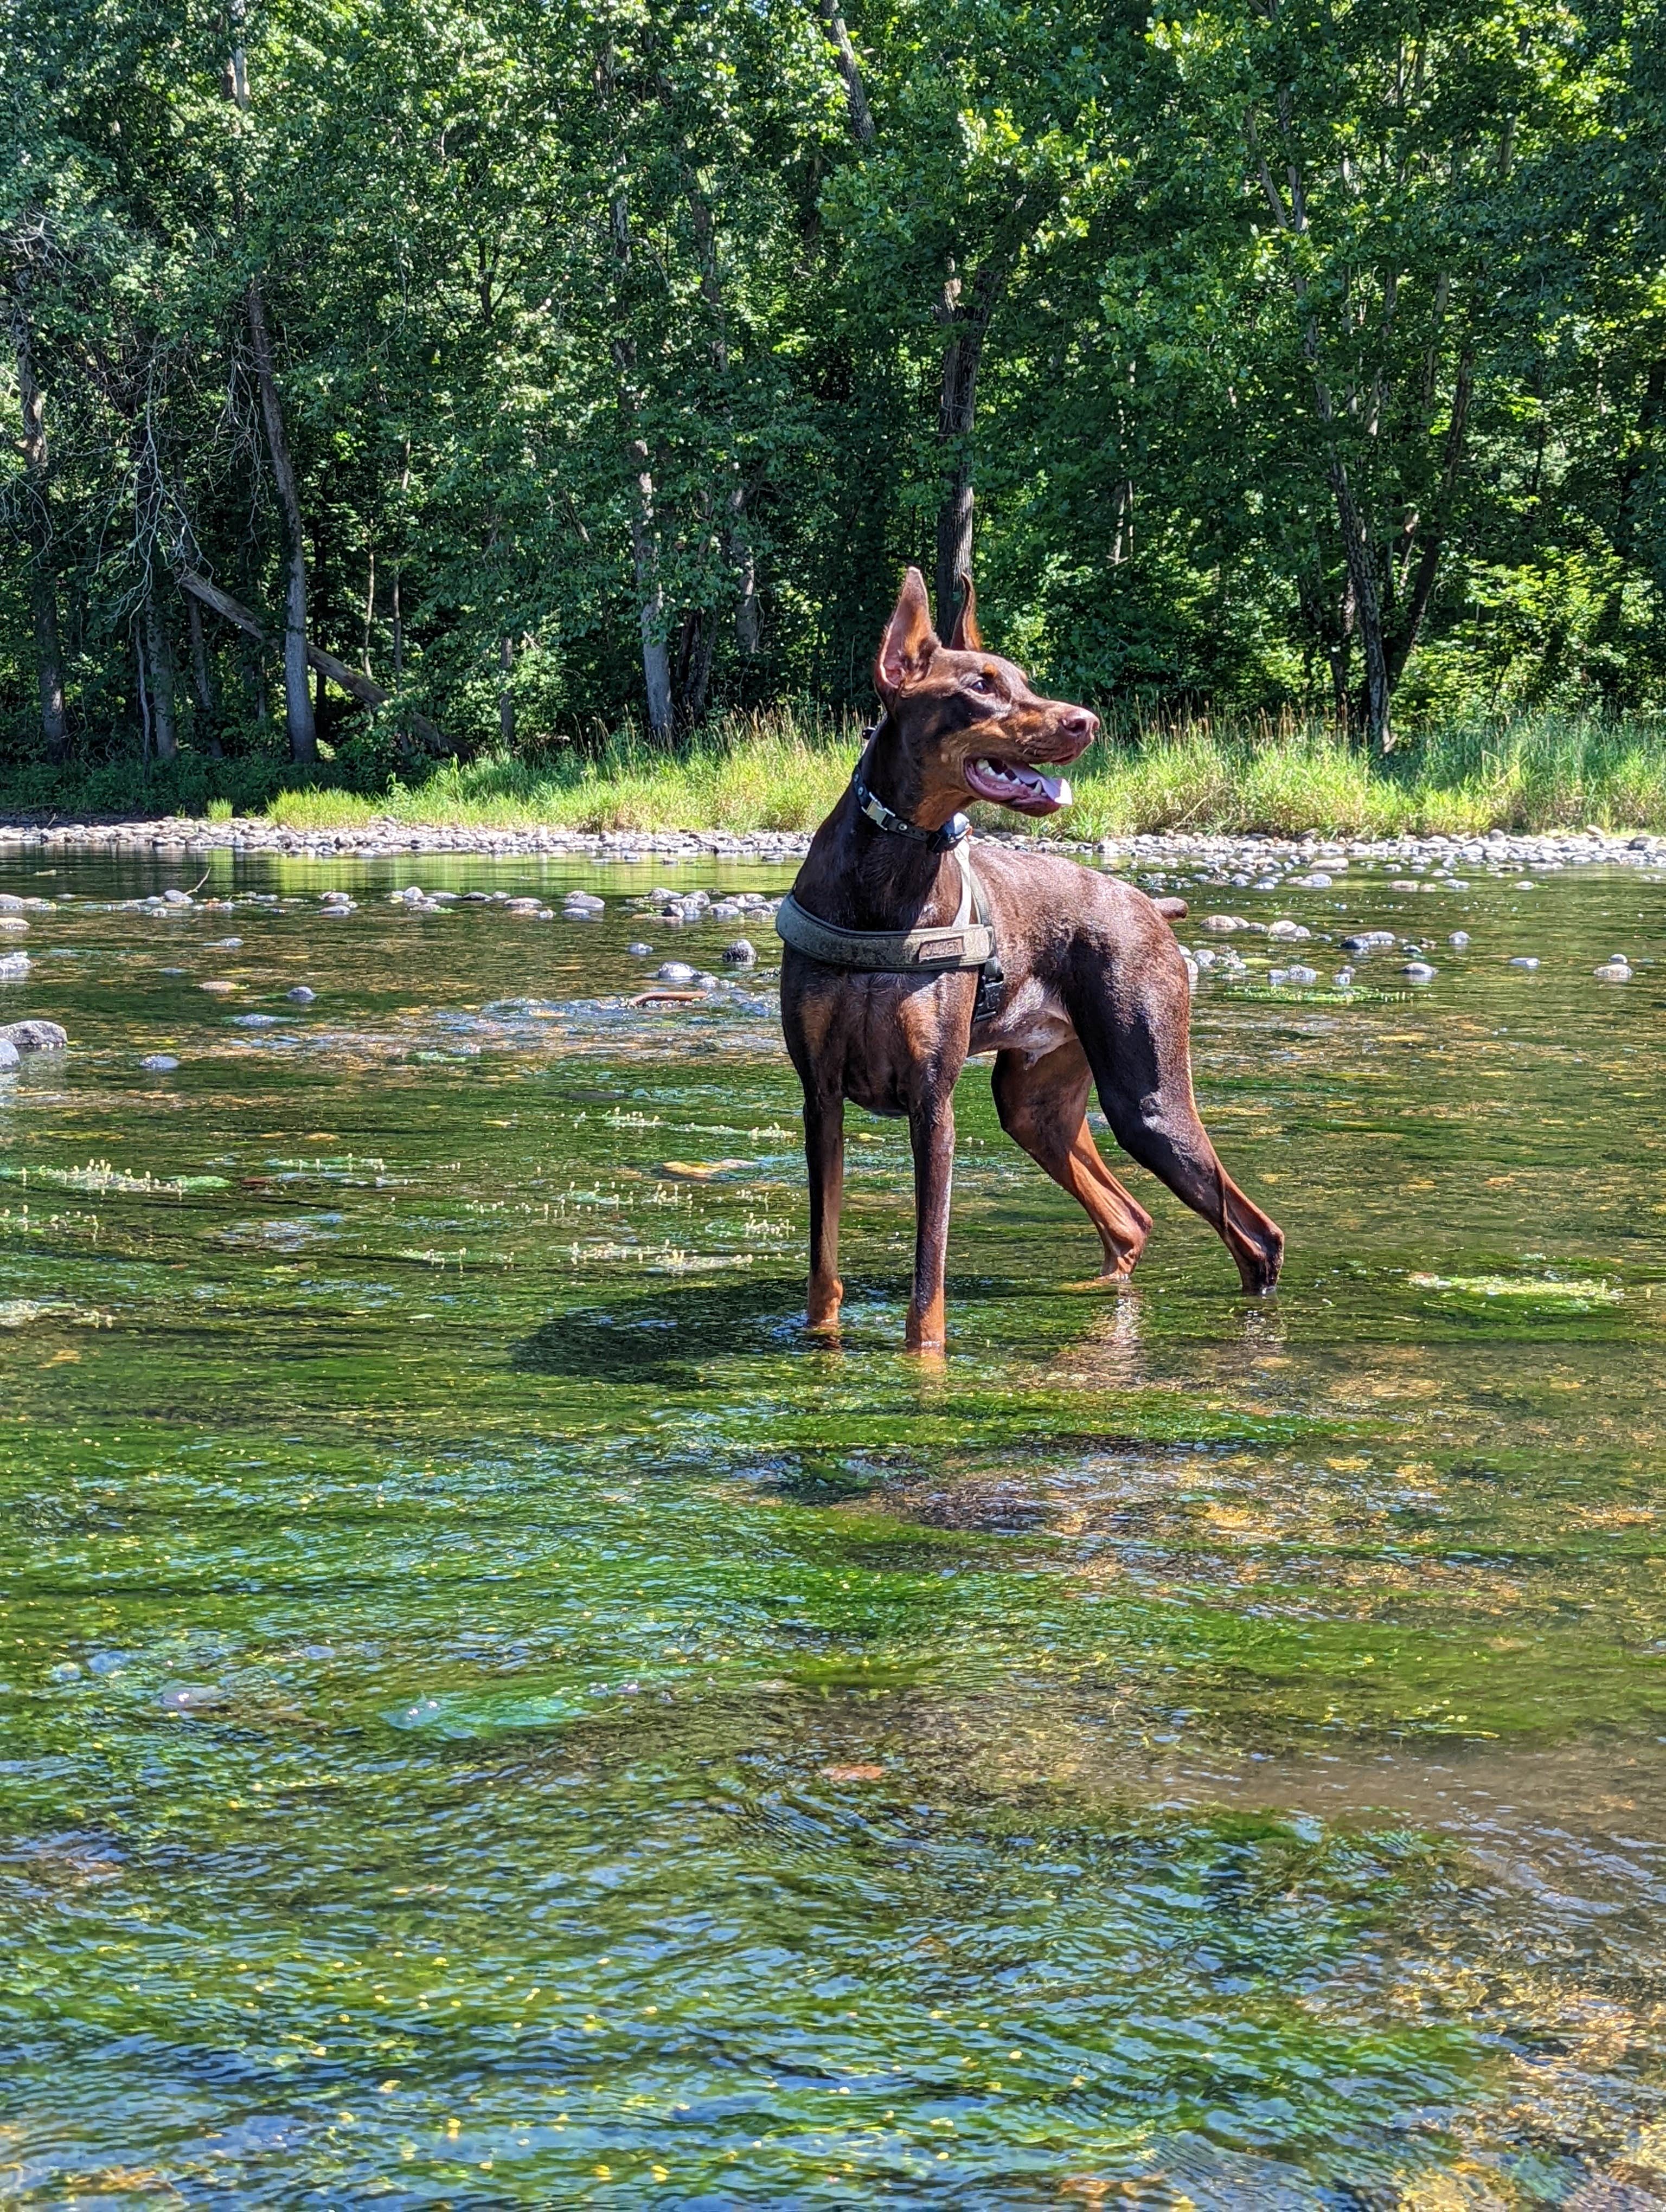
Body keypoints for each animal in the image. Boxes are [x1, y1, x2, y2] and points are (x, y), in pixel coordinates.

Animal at [774, 566, 1283, 1345]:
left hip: (1149, 1101)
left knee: (1256, 1236)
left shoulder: (933, 1099)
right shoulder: (821, 1094)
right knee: (1131, 1220)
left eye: (1024, 681)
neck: (888, 881)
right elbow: (822, 1270)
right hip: (1034, 1104)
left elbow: (928, 1284)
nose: (1086, 722)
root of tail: (1152, 909)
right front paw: (821, 1346)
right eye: (981, 685)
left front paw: (925, 1360)